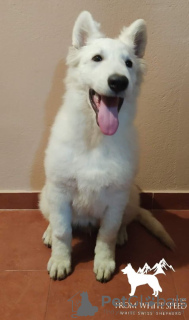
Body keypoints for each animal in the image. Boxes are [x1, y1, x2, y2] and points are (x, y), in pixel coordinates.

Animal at [38, 11, 174, 282]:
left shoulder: (117, 196)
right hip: (46, 196)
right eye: (97, 58)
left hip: (131, 197)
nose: (118, 82)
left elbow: (107, 234)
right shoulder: (60, 192)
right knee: (53, 221)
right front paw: (60, 260)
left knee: (122, 223)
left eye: (129, 63)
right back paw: (48, 232)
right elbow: (62, 231)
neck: (95, 138)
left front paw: (104, 262)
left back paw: (122, 234)